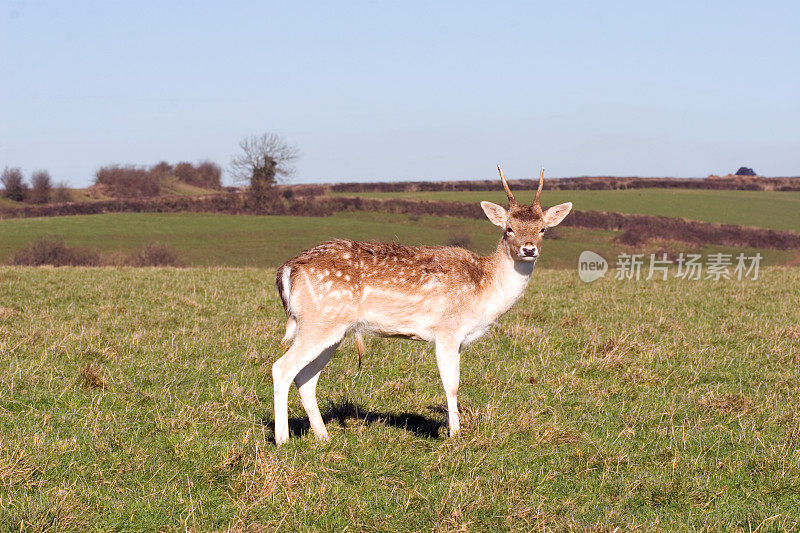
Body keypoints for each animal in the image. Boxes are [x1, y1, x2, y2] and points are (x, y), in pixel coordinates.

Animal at [272, 167, 572, 444]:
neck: (484, 290)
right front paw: (454, 435)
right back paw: (282, 439)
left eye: (543, 228)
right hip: (320, 322)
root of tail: (287, 270)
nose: (529, 249)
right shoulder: (447, 330)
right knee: (282, 368)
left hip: (332, 329)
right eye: (509, 228)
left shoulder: (458, 339)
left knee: (305, 378)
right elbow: (452, 385)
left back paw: (324, 437)